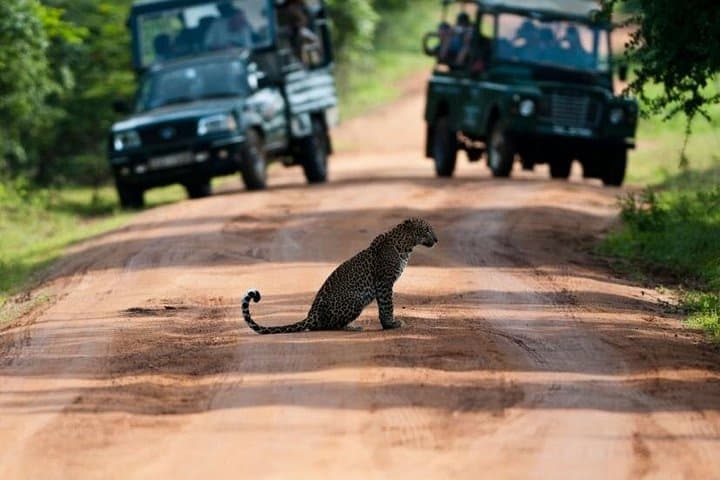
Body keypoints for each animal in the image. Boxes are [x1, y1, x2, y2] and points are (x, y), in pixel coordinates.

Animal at [241, 217, 438, 334]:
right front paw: (390, 324)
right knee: (328, 325)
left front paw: (388, 324)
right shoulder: (384, 282)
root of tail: (311, 314)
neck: (406, 246)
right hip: (356, 299)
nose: (437, 240)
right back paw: (352, 327)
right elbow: (387, 305)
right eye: (427, 230)